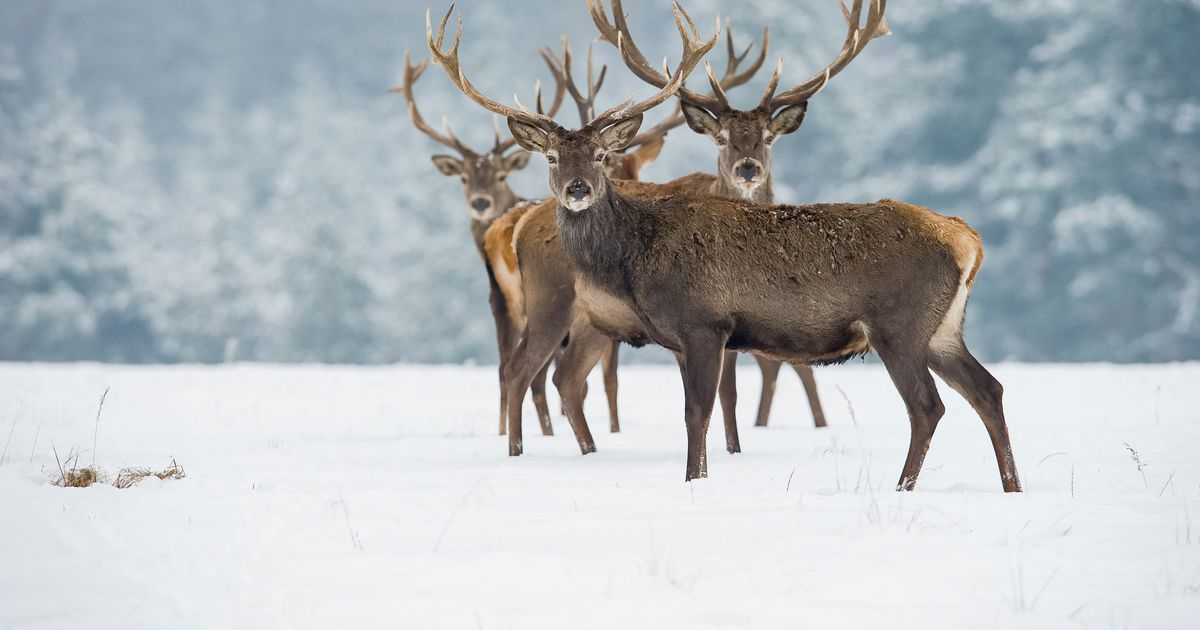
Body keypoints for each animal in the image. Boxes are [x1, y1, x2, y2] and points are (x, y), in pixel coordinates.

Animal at [432, 0, 1022, 492]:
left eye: (600, 155)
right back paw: (1010, 487)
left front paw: (694, 482)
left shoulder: (703, 322)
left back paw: (903, 488)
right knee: (988, 390)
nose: (578, 189)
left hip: (900, 324)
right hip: (943, 328)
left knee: (928, 406)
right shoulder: (685, 336)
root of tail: (967, 239)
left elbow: (699, 413)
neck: (636, 259)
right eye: (552, 157)